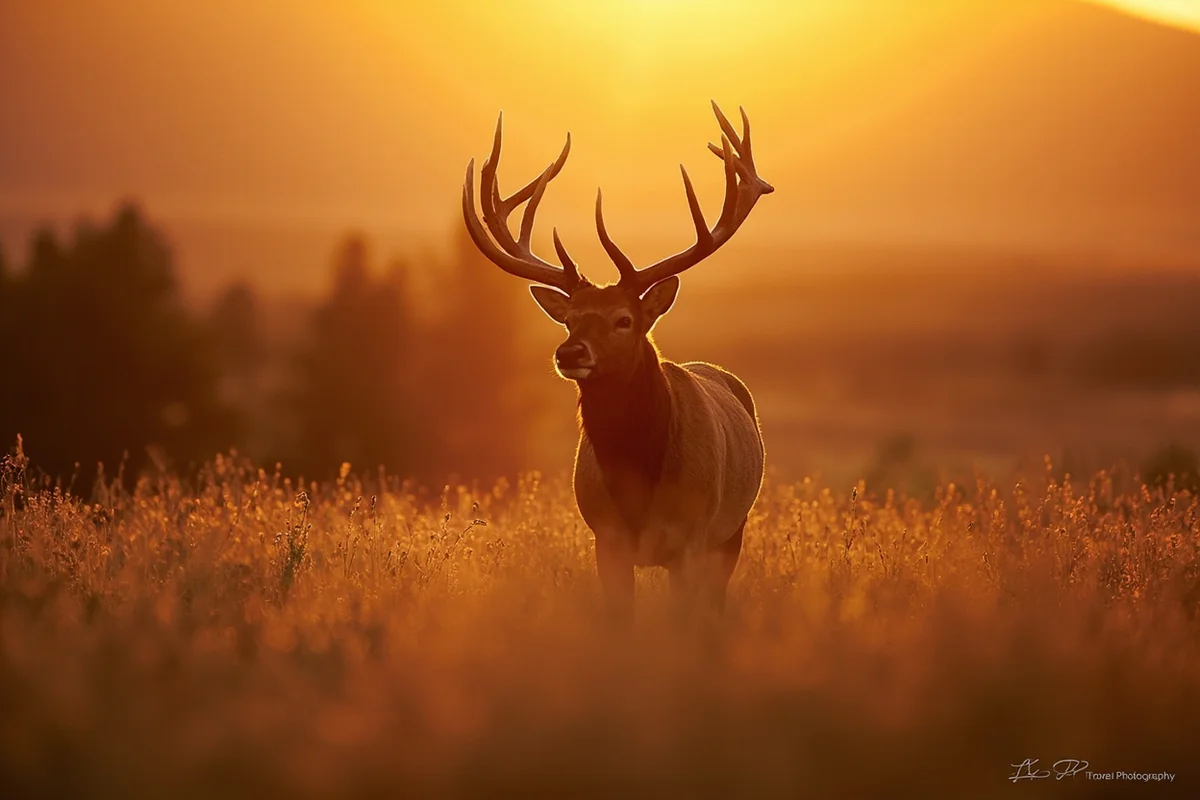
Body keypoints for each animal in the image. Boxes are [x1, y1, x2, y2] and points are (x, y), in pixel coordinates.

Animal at [462, 102, 773, 620]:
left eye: (624, 319)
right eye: (569, 321)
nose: (570, 352)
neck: (639, 488)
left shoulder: (692, 538)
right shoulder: (604, 537)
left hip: (733, 529)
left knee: (715, 600)